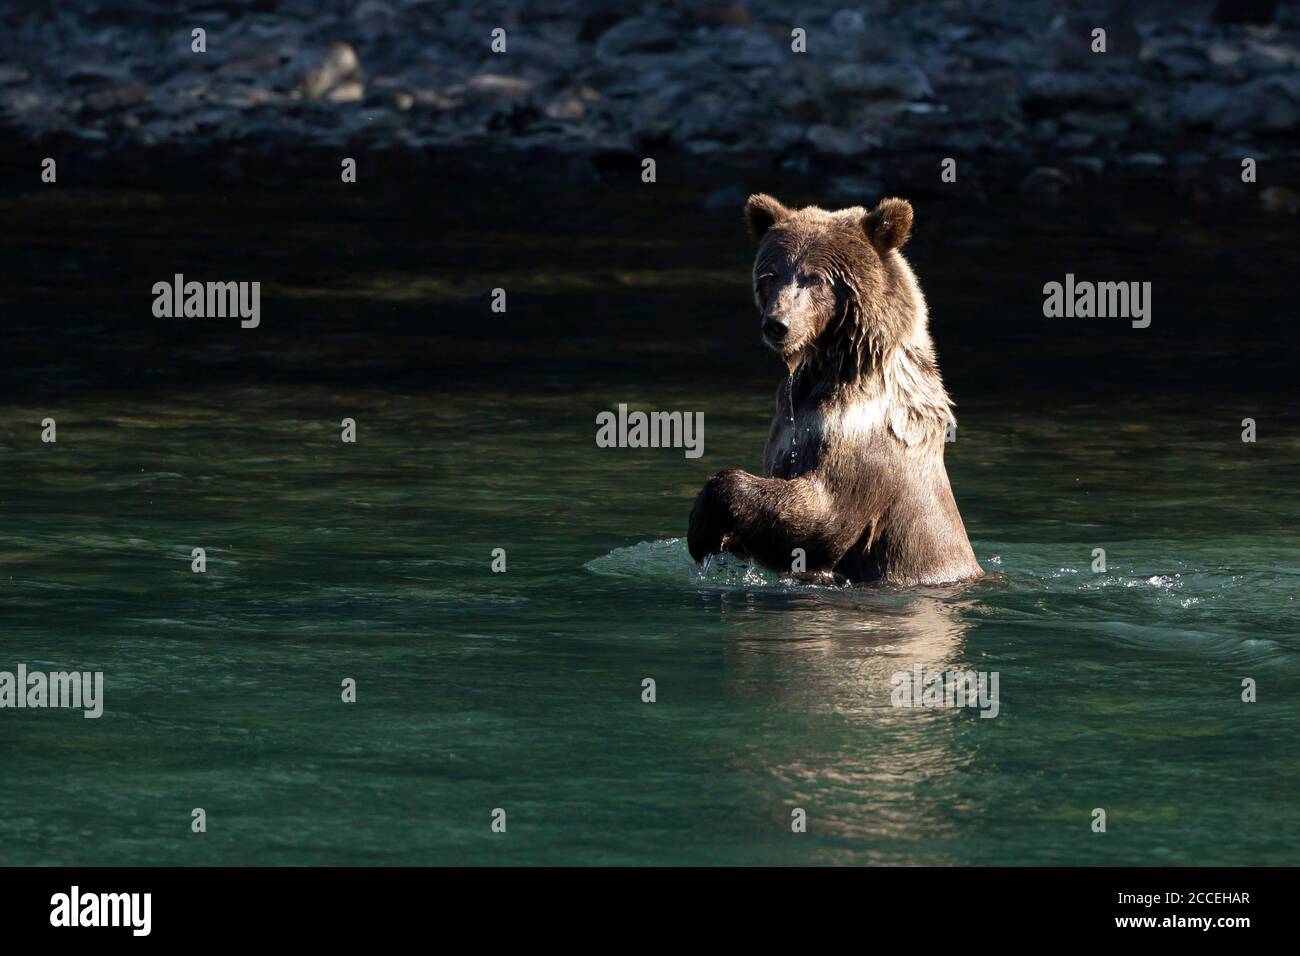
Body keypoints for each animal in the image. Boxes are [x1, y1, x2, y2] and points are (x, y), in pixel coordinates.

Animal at [686, 193, 983, 587]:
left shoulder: (867, 443)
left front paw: (703, 525)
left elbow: (823, 518)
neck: (835, 368)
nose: (777, 324)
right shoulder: (789, 423)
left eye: (815, 278)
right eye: (770, 274)